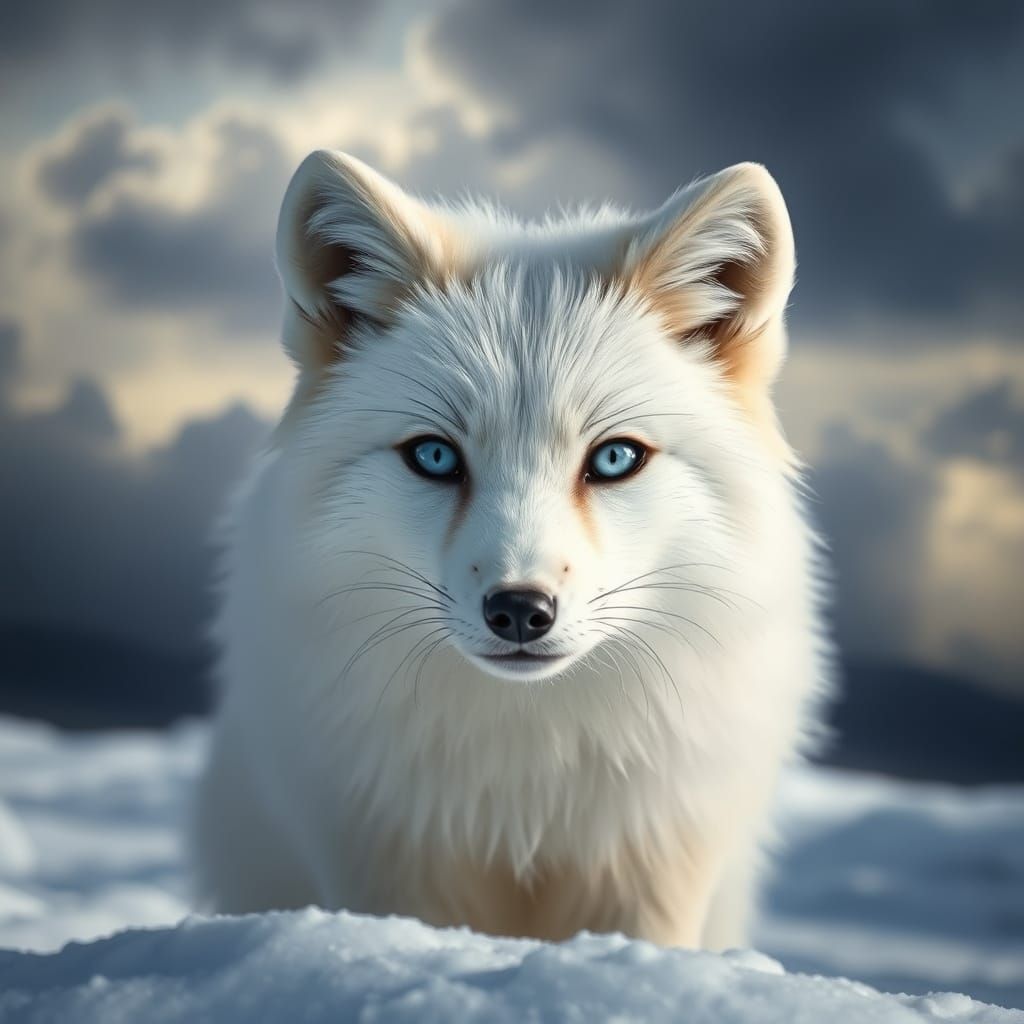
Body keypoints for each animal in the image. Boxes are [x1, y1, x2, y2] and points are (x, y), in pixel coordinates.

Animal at [192, 149, 830, 950]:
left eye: (615, 458)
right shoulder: (385, 851)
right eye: (435, 456)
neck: (527, 784)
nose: (521, 609)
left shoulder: (651, 860)